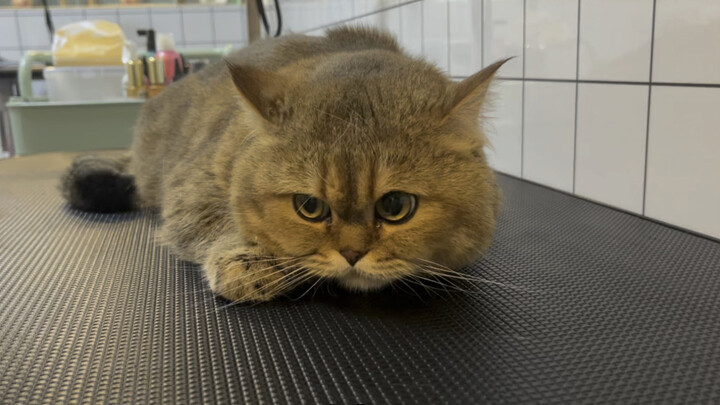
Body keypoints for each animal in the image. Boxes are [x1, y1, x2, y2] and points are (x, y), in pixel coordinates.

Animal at [60, 26, 506, 302]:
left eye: (396, 206)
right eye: (309, 207)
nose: (352, 255)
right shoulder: (191, 187)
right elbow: (219, 220)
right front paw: (249, 261)